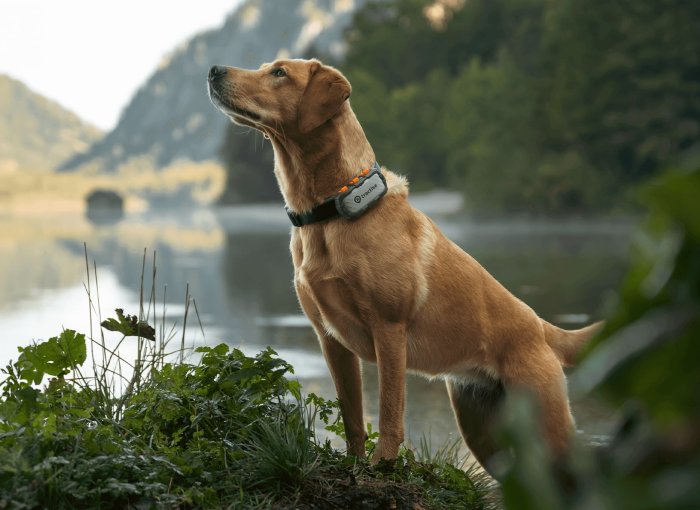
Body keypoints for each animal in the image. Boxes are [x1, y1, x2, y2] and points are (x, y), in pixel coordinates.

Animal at [206, 58, 596, 474]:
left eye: (279, 73)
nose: (214, 70)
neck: (331, 211)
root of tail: (541, 327)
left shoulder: (388, 327)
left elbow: (390, 411)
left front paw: (383, 464)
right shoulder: (330, 340)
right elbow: (353, 416)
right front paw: (355, 464)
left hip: (547, 424)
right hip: (483, 433)